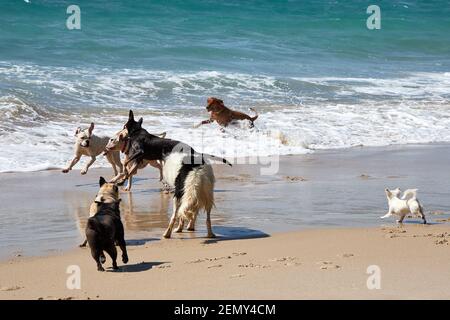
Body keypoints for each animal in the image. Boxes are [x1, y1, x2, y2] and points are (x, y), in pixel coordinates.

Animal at [118, 110, 230, 238]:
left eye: (124, 126)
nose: (120, 134)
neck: (137, 131)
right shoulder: (138, 158)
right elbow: (128, 167)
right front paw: (123, 177)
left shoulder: (139, 153)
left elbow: (126, 163)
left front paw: (123, 177)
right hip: (204, 194)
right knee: (201, 215)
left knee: (180, 213)